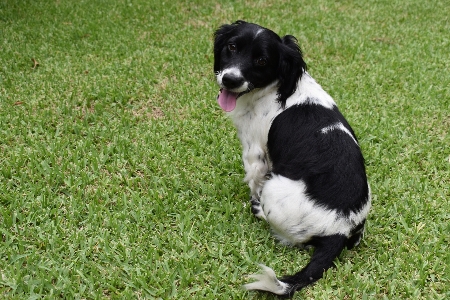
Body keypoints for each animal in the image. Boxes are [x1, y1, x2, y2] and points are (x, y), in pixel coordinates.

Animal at [214, 21, 372, 298]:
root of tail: (340, 231)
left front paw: (252, 201)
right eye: (231, 47)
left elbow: (254, 182)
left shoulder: (256, 154)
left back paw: (258, 211)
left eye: (262, 60)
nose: (230, 79)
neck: (275, 86)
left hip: (275, 189)